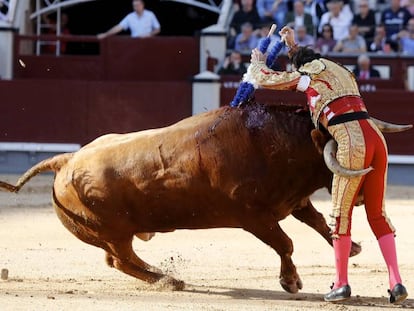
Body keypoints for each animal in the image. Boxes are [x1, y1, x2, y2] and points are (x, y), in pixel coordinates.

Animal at [0, 102, 402, 292]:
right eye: (349, 155)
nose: (365, 197)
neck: (276, 144)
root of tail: (66, 160)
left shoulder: (293, 201)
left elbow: (317, 223)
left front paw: (352, 248)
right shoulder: (254, 217)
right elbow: (285, 243)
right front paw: (290, 282)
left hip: (113, 234)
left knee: (121, 260)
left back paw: (165, 278)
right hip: (112, 233)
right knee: (120, 260)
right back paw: (168, 280)